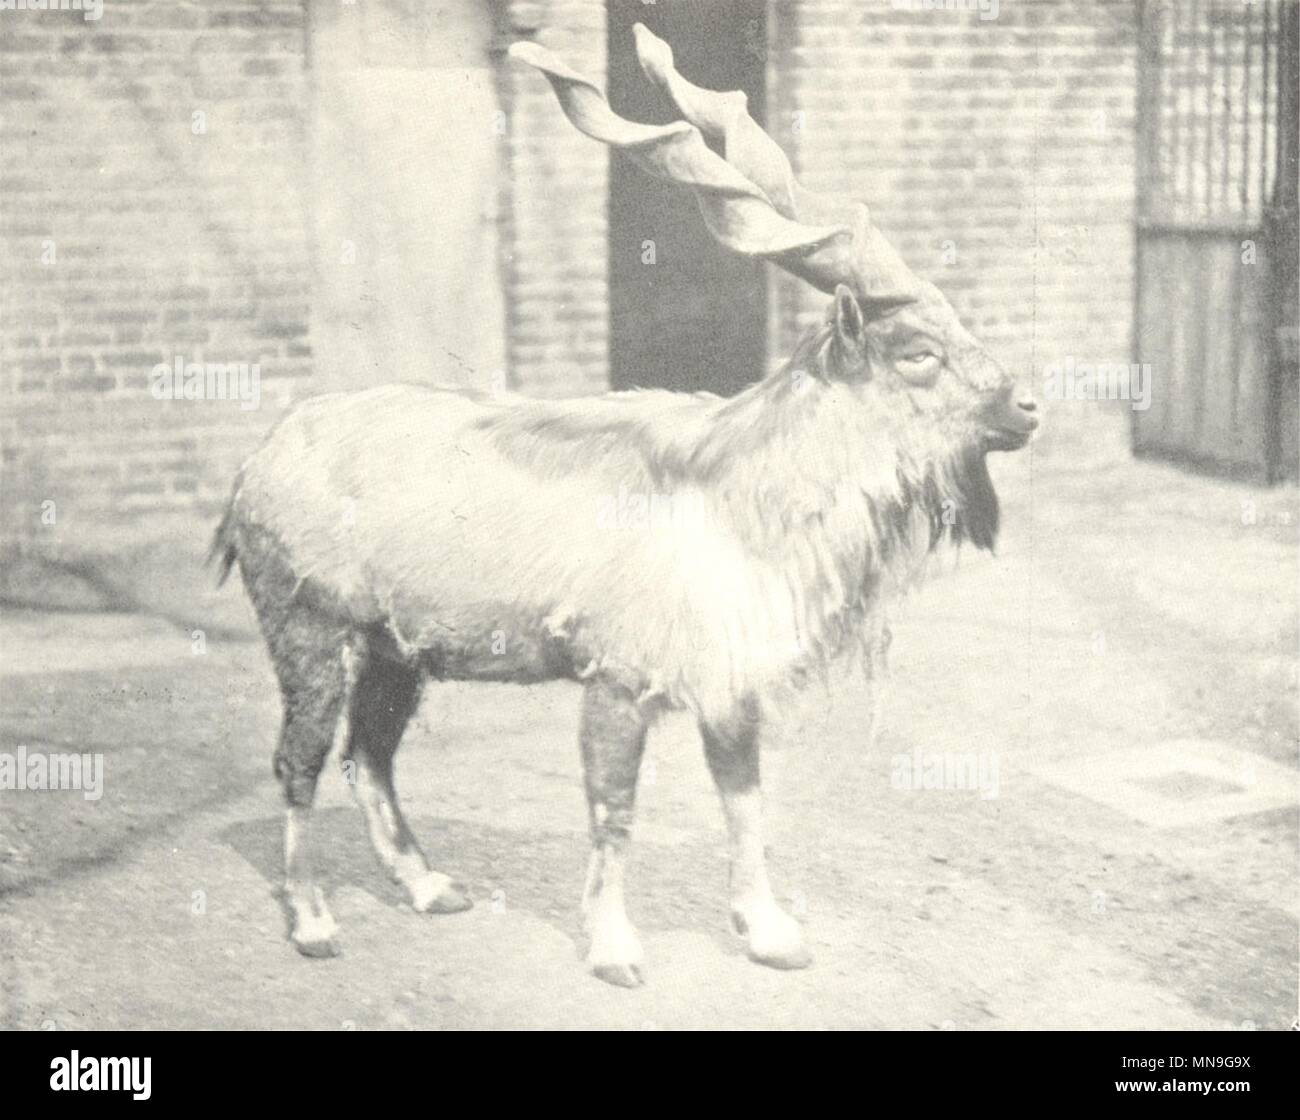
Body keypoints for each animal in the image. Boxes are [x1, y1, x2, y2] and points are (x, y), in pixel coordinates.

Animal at [218, 28, 1040, 992]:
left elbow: (746, 803)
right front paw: (615, 951)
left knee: (370, 754)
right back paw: (312, 920)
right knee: (302, 756)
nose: (1027, 408)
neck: (734, 492)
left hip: (395, 650)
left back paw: (431, 889)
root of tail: (257, 465)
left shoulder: (730, 685)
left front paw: (772, 934)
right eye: (917, 352)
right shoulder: (616, 678)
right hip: (310, 632)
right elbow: (613, 811)